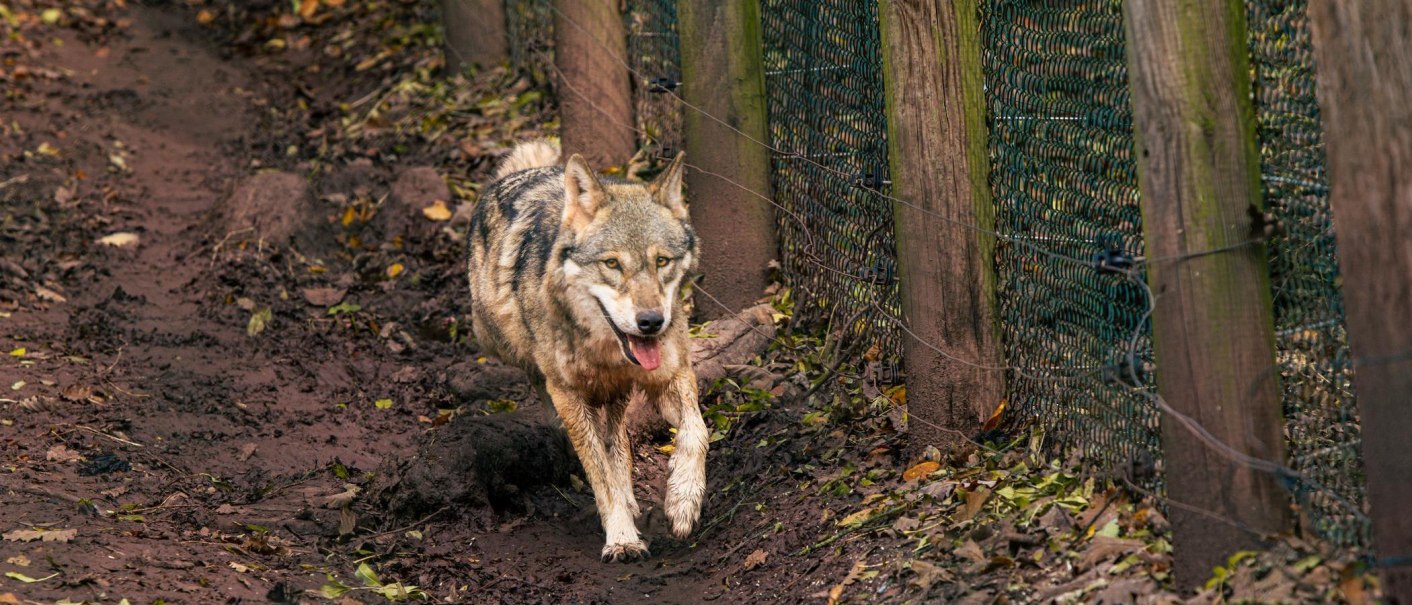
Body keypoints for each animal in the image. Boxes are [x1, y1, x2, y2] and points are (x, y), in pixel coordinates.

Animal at [466, 140, 708, 562]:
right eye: (612, 263)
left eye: (661, 261)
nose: (651, 322)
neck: (605, 351)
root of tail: (522, 172)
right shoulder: (569, 395)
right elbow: (600, 474)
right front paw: (622, 538)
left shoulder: (671, 374)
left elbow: (697, 432)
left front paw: (682, 501)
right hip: (506, 347)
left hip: (616, 394)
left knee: (618, 440)